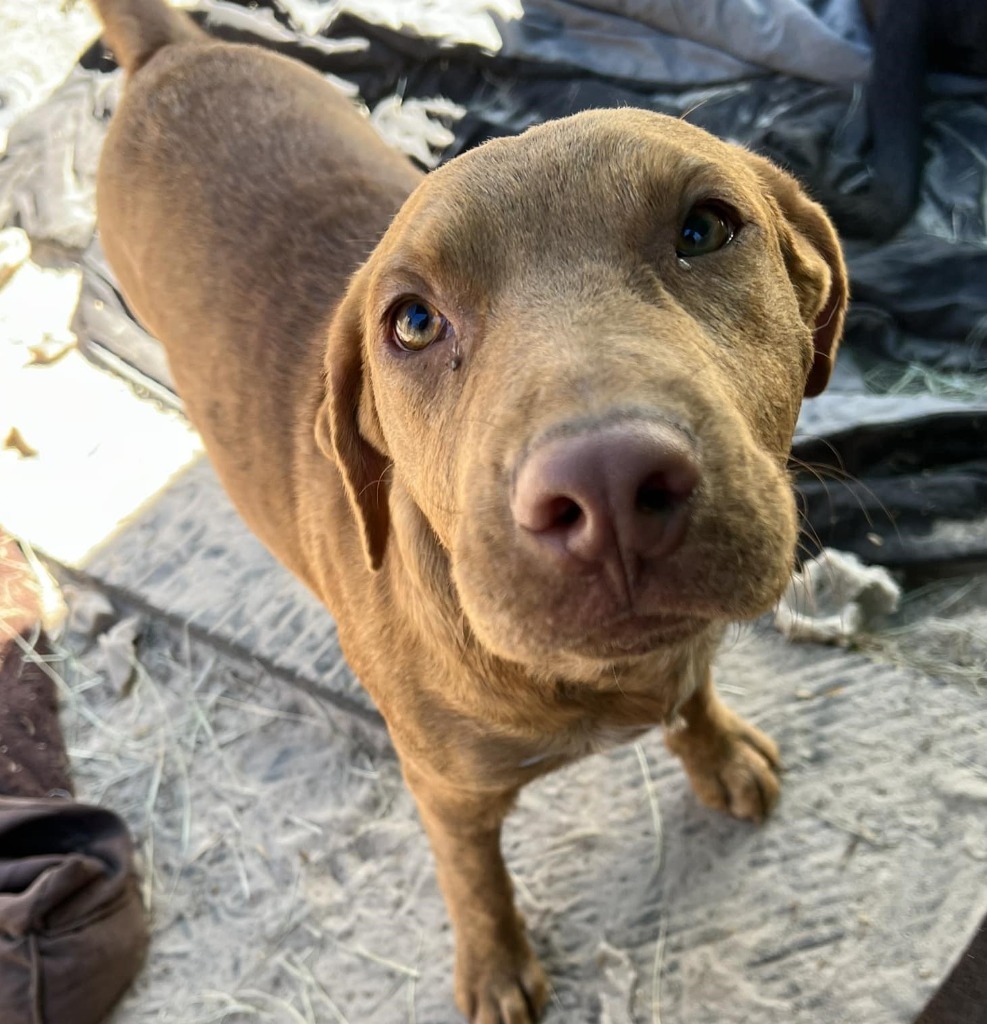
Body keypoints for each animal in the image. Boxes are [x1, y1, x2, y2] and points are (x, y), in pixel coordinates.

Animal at [92, 4, 847, 1019]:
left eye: (704, 228)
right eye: (412, 322)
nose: (607, 488)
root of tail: (170, 51)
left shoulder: (684, 649)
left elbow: (694, 692)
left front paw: (717, 751)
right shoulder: (444, 791)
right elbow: (473, 878)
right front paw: (492, 966)